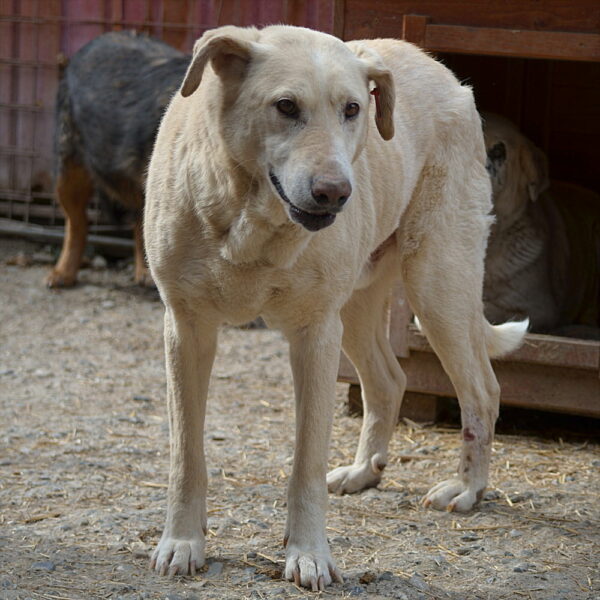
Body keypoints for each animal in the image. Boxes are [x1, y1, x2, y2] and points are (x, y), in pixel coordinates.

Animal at [143, 24, 528, 592]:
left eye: (352, 109)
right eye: (285, 106)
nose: (335, 193)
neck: (254, 223)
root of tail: (443, 72)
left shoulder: (315, 335)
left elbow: (305, 463)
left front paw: (308, 555)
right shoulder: (186, 329)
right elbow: (186, 456)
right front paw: (182, 543)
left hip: (437, 284)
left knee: (482, 389)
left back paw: (467, 489)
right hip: (361, 304)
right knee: (390, 378)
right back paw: (365, 472)